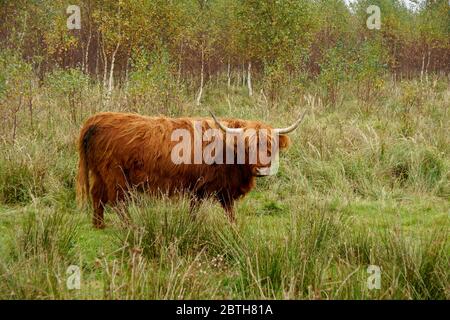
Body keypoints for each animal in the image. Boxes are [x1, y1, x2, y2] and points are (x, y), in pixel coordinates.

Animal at [76, 111, 306, 229]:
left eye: (270, 147)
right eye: (247, 146)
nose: (261, 169)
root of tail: (96, 120)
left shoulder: (220, 188)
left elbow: (228, 211)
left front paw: (233, 227)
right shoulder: (202, 186)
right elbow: (198, 209)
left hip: (100, 173)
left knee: (97, 196)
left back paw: (98, 225)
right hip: (115, 174)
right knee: (118, 201)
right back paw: (131, 226)